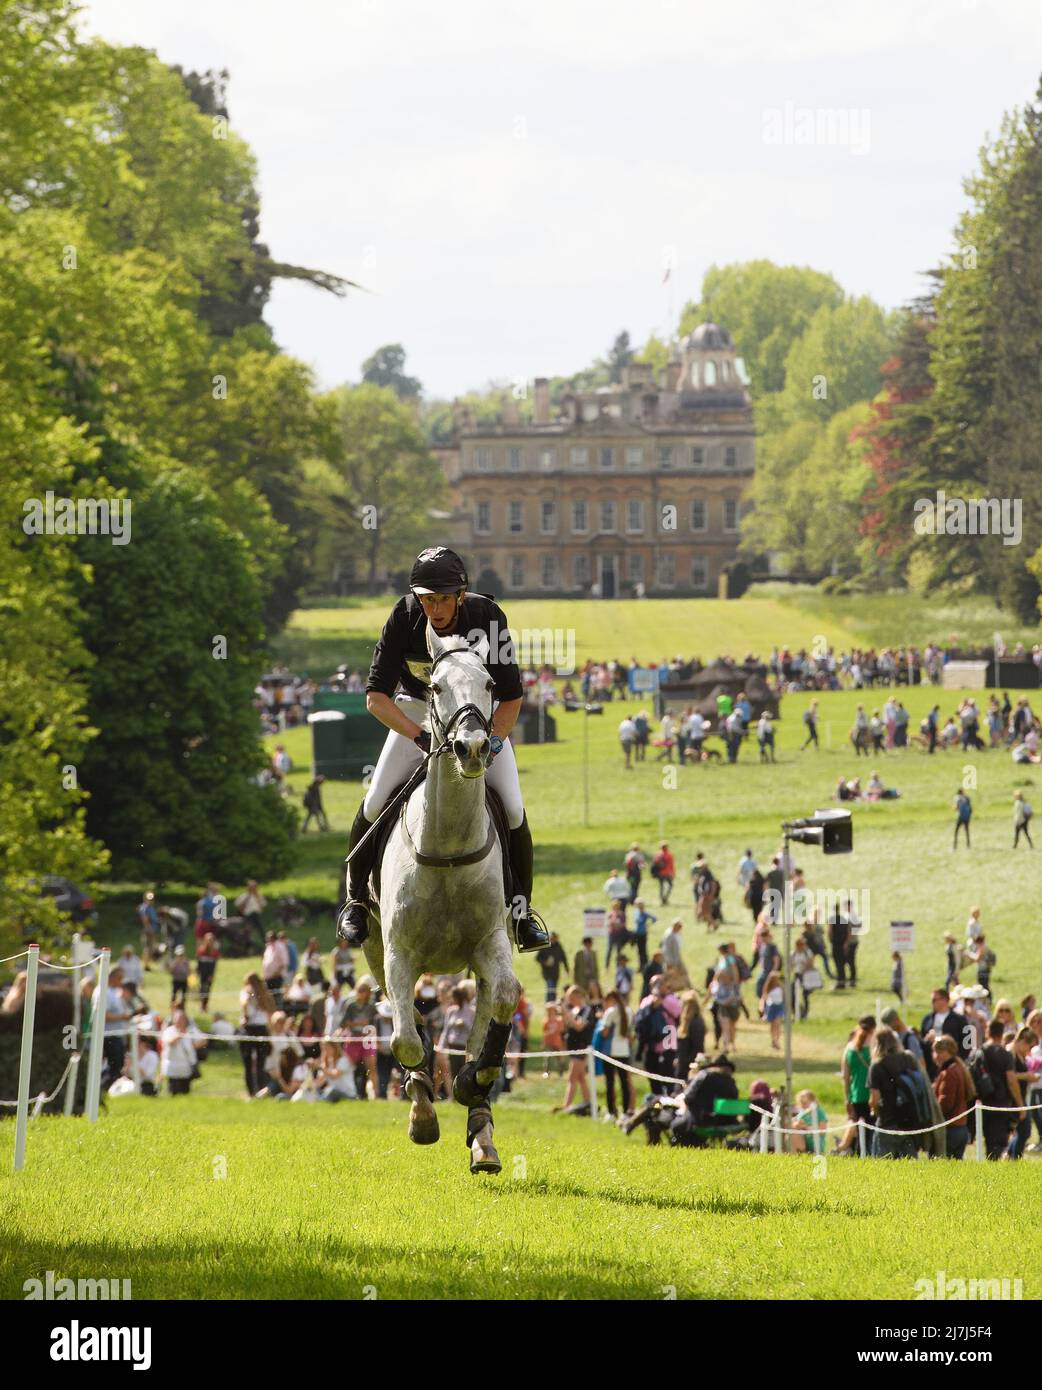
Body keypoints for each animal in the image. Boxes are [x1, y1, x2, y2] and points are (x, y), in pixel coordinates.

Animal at [361, 631, 519, 1173]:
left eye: (490, 683)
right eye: (434, 687)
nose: (471, 748)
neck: (448, 839)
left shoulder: (491, 943)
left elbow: (505, 1002)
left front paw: (473, 1082)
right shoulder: (398, 953)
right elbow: (405, 1038)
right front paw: (423, 1116)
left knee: (482, 1021)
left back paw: (483, 1137)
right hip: (374, 949)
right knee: (404, 1016)